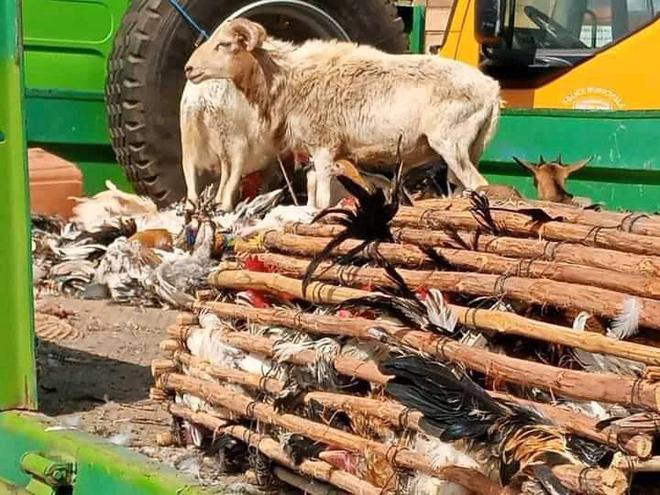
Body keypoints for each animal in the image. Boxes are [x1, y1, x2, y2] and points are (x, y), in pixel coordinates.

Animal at [183, 18, 498, 209]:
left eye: (225, 44)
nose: (188, 68)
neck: (287, 78)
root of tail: (492, 89)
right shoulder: (317, 150)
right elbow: (312, 193)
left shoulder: (324, 145)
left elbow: (322, 199)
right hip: (470, 149)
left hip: (451, 142)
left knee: (479, 185)